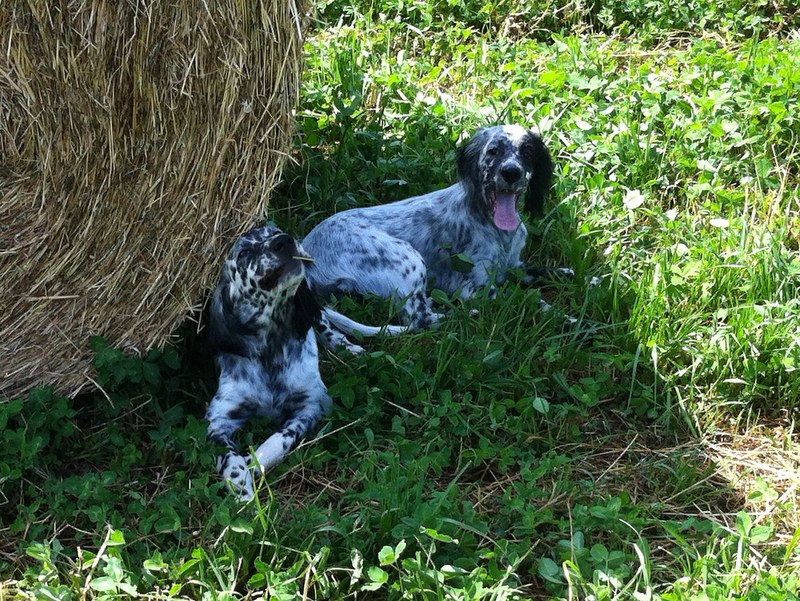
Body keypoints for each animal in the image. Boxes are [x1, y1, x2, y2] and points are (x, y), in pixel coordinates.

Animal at [206, 225, 406, 496]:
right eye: (244, 252)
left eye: (275, 230)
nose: (284, 240)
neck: (272, 346)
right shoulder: (219, 419)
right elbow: (228, 456)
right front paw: (241, 484)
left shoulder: (312, 405)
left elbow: (281, 438)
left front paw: (255, 461)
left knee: (325, 325)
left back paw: (348, 348)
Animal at [304, 123, 572, 328]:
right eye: (493, 151)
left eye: (528, 151)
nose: (511, 173)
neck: (493, 225)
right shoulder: (474, 286)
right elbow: (525, 299)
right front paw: (564, 317)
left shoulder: (513, 265)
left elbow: (541, 272)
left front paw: (572, 276)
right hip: (408, 258)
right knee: (420, 320)